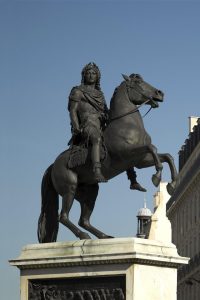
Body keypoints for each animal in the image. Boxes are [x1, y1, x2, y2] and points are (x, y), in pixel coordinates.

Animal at [37, 74, 177, 243]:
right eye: (138, 82)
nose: (159, 93)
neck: (127, 124)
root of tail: (53, 165)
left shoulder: (140, 160)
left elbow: (167, 156)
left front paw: (172, 184)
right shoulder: (128, 154)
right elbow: (153, 148)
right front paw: (156, 177)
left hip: (90, 192)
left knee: (83, 220)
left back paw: (103, 236)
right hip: (69, 188)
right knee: (63, 217)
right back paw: (84, 236)